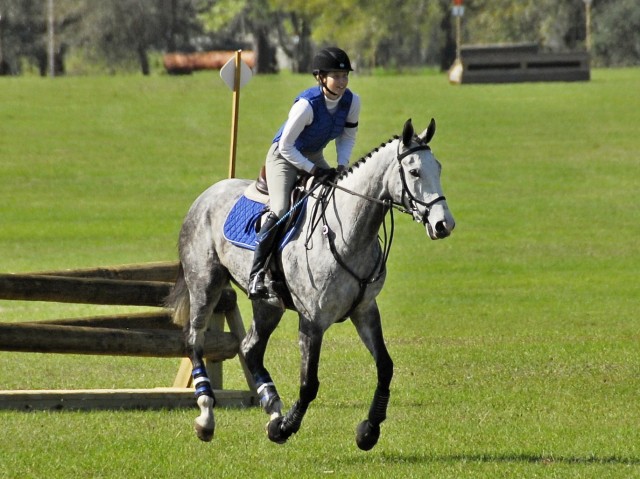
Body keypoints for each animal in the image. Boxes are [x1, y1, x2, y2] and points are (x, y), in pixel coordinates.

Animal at [165, 118, 456, 452]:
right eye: (414, 171)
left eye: (438, 167)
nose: (443, 224)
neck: (348, 235)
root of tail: (207, 195)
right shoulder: (313, 321)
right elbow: (309, 383)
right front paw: (285, 428)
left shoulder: (365, 310)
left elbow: (385, 367)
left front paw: (368, 431)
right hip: (205, 283)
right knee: (195, 341)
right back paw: (207, 417)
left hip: (268, 303)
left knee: (250, 347)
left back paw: (272, 406)